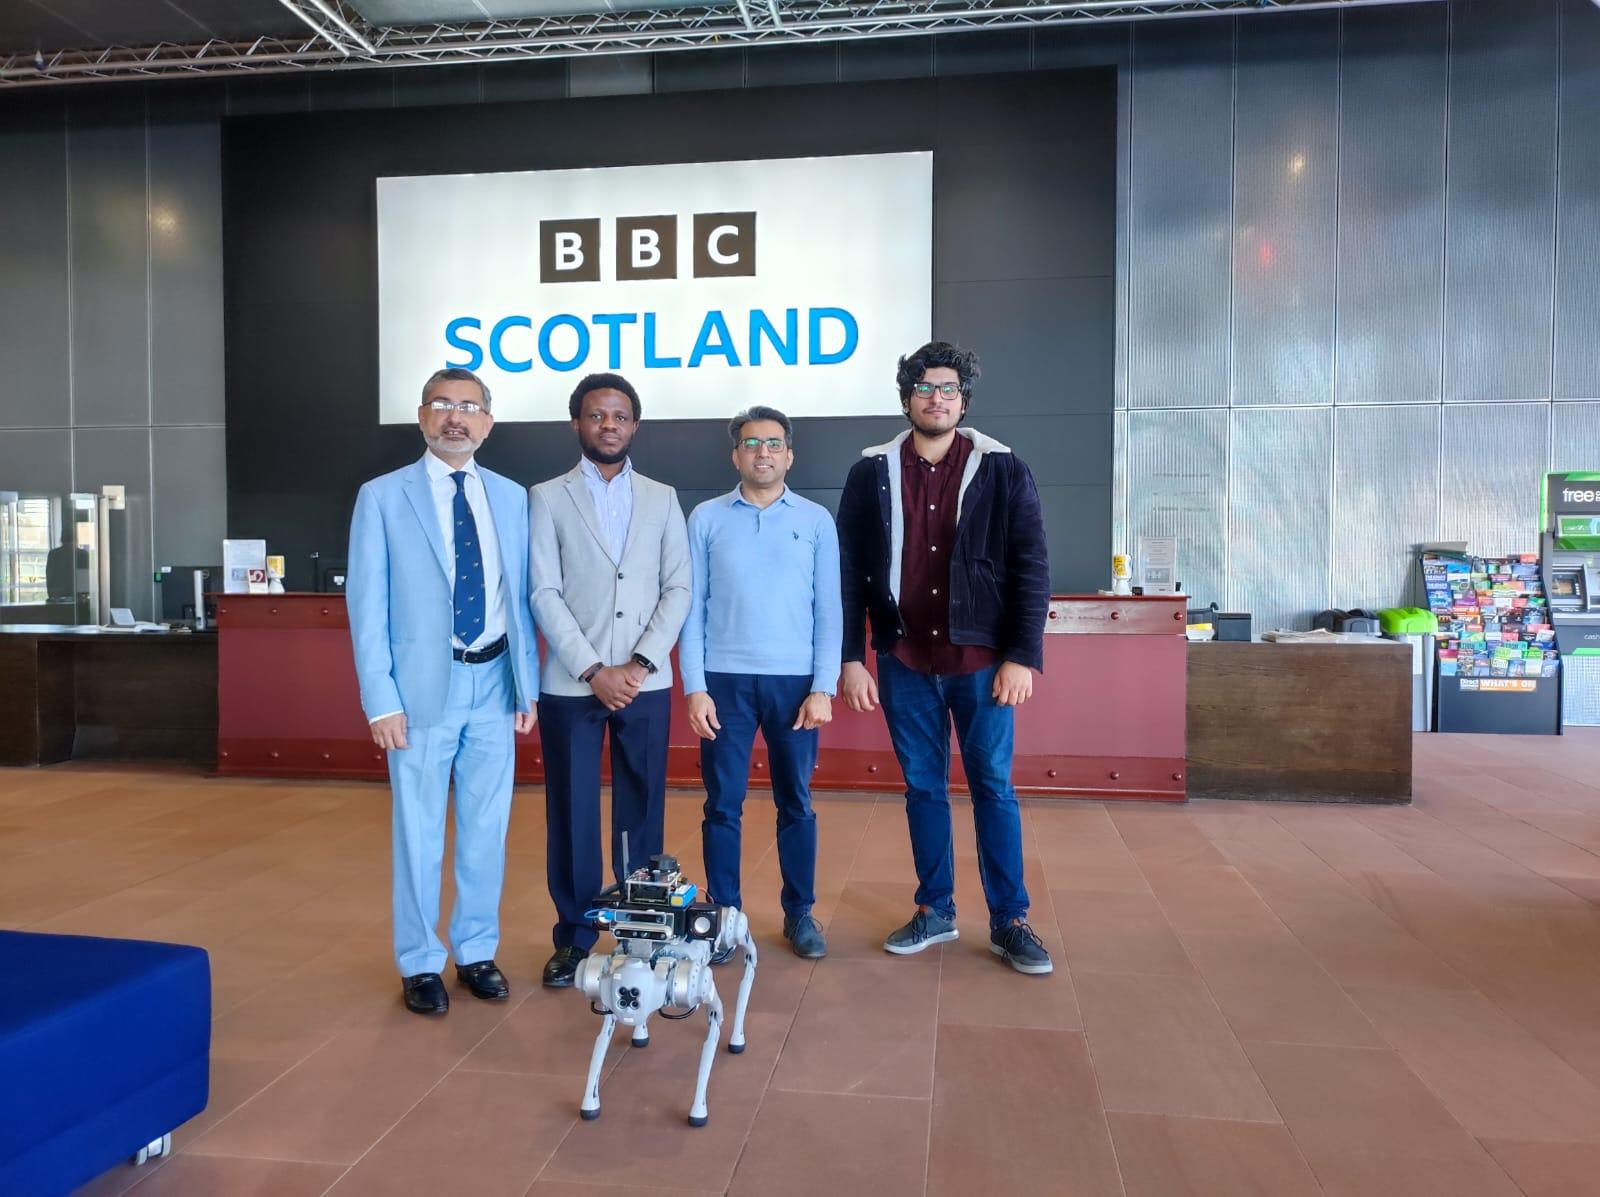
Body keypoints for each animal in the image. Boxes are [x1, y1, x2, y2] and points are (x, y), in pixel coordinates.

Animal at [572, 838, 752, 1120]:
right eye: (626, 995)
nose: (627, 996)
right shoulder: (607, 988)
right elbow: (602, 1038)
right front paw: (589, 1103)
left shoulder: (699, 985)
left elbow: (716, 1019)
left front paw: (698, 1110)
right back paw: (639, 1032)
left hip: (733, 928)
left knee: (749, 958)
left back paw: (737, 1038)